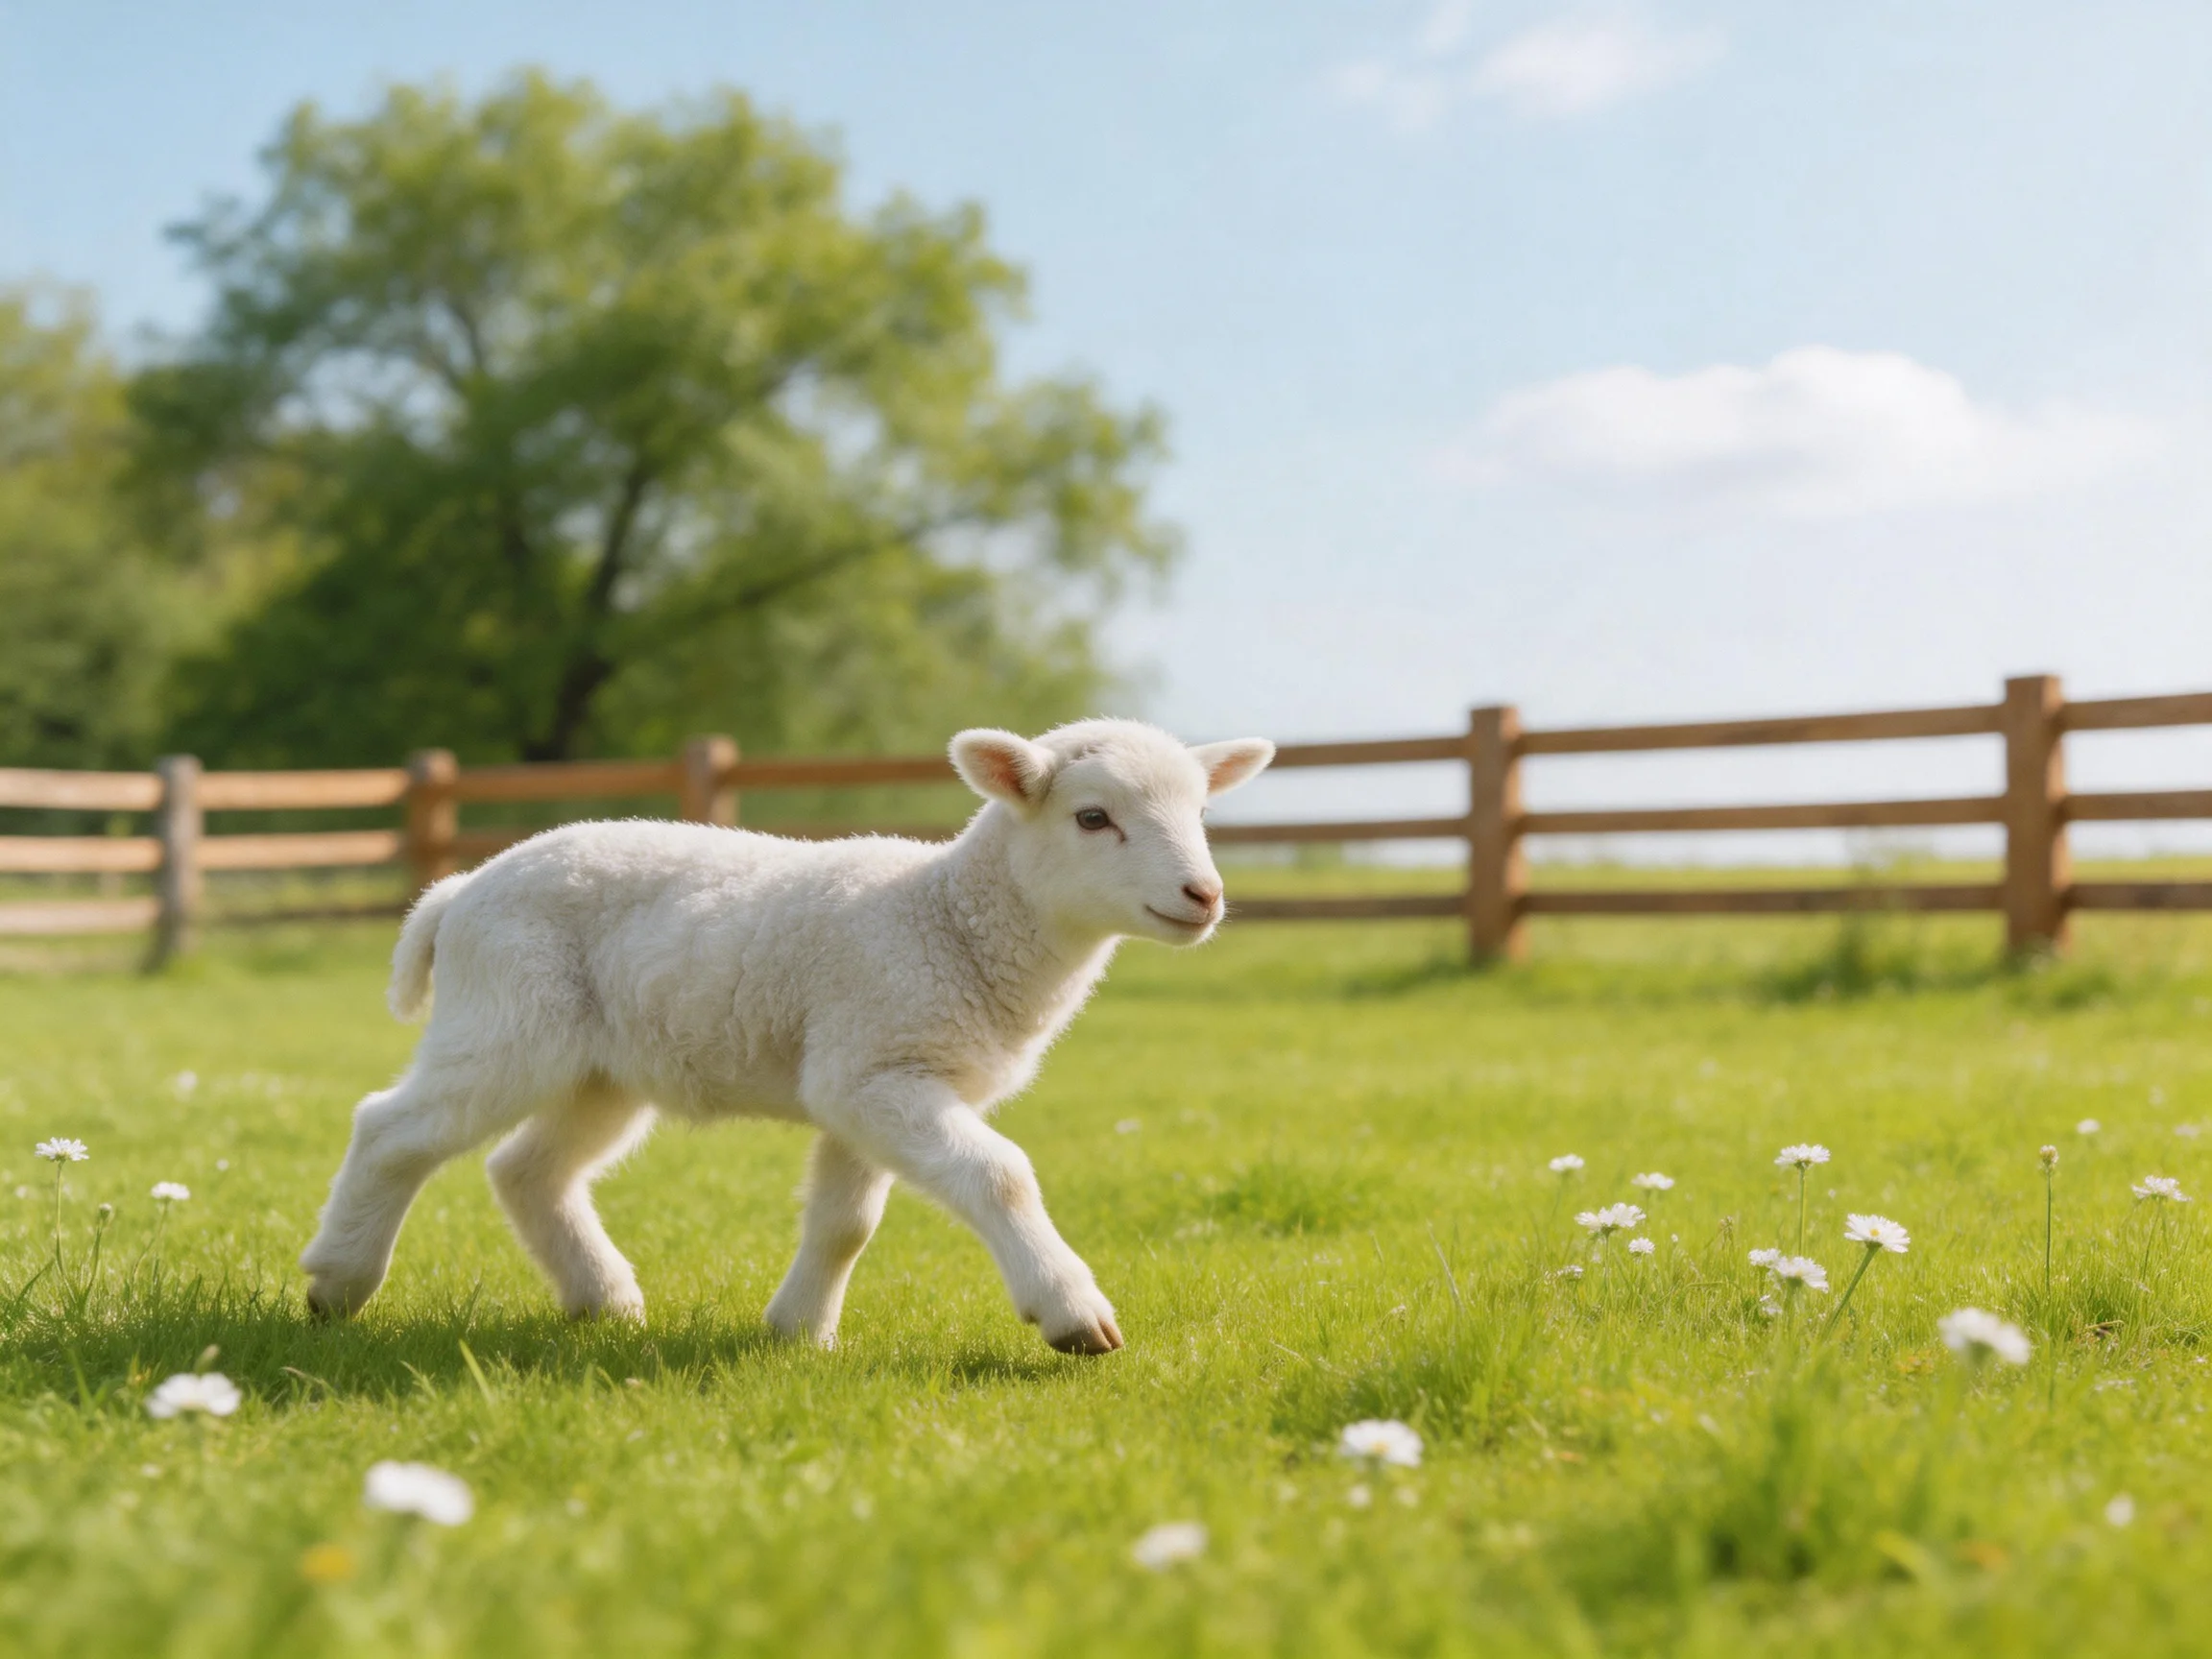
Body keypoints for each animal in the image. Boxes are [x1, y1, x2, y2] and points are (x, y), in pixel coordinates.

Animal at [298, 719, 1275, 1353]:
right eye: (1092, 817)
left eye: (1201, 814)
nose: (1204, 896)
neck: (951, 917)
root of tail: (457, 892)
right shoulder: (874, 1064)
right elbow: (1001, 1174)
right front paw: (1073, 1313)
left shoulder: (862, 1080)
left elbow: (846, 1223)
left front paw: (799, 1332)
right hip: (509, 1015)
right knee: (392, 1128)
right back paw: (338, 1282)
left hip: (599, 1066)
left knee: (527, 1169)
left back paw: (603, 1299)